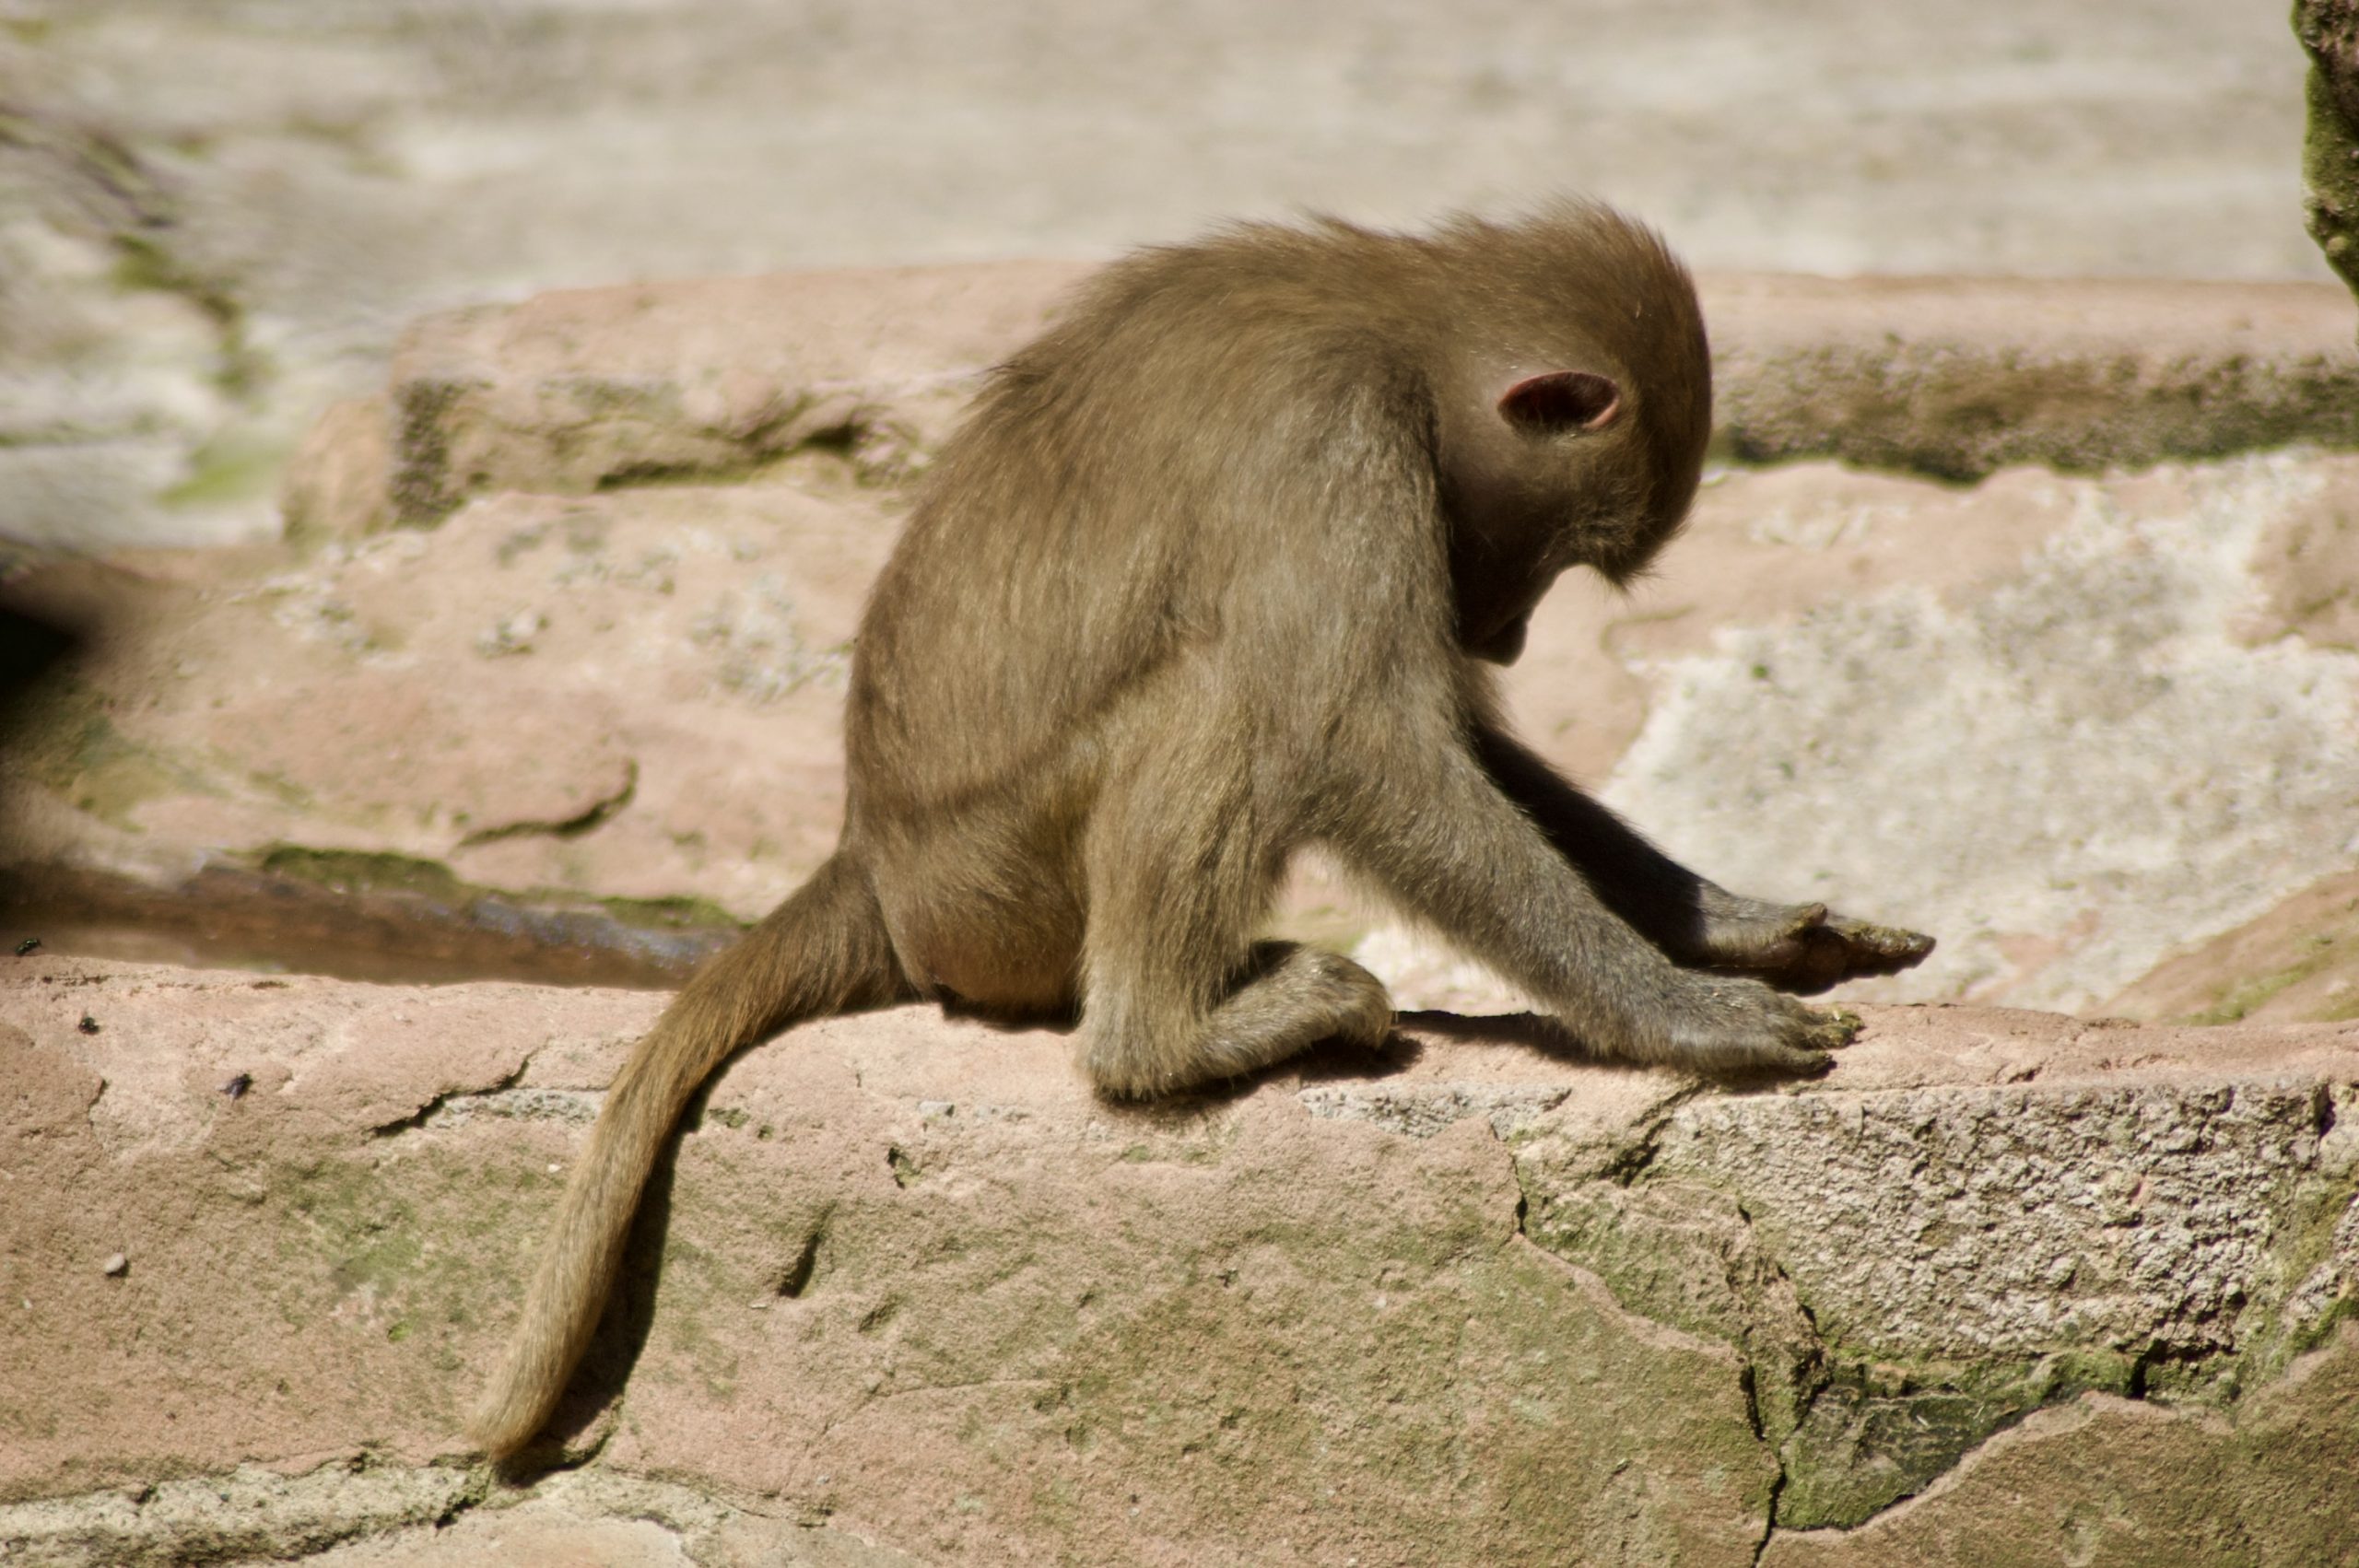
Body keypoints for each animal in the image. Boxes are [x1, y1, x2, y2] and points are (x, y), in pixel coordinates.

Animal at [470, 201, 1933, 1459]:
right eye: (1580, 544)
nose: (1510, 635)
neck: (1404, 327)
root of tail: (871, 861)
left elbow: (1450, 740)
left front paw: (1747, 928)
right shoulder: (1325, 437)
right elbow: (1362, 736)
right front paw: (1678, 1012)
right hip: (1001, 893)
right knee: (1224, 691)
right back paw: (1175, 1041)